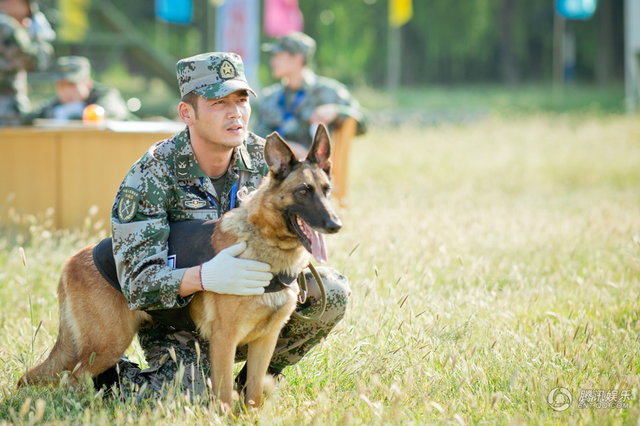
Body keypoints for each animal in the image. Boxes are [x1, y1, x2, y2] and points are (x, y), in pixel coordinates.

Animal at [17, 123, 342, 410]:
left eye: (327, 190)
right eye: (303, 191)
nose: (335, 225)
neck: (264, 243)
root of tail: (73, 260)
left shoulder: (265, 341)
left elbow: (254, 397)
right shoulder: (225, 339)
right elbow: (224, 394)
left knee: (35, 378)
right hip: (108, 344)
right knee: (71, 380)